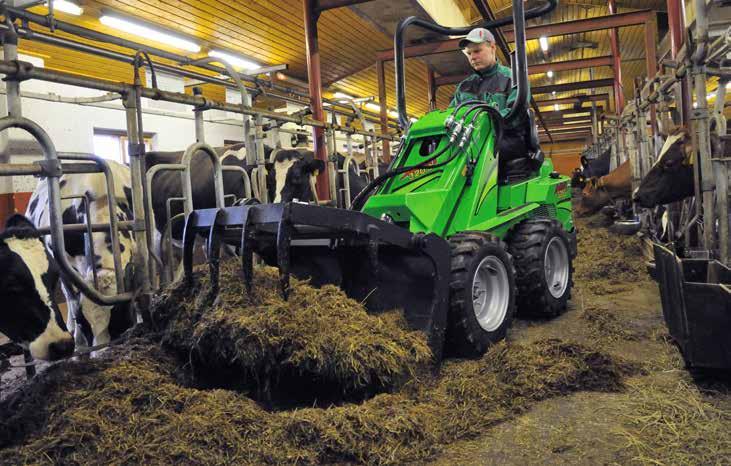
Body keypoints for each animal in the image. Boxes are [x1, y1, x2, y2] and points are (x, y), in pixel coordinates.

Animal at [25, 162, 137, 352]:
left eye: (116, 320)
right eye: (84, 324)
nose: (101, 353)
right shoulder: (63, 265)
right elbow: (72, 299)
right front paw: (79, 342)